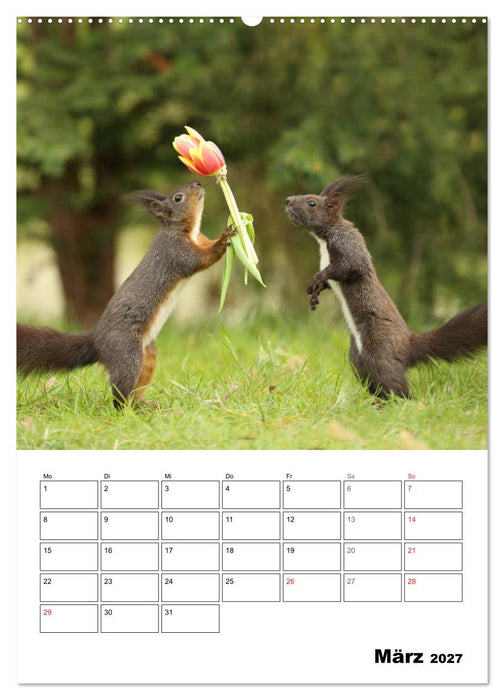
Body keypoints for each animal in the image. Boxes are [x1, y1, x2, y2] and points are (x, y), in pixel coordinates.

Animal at [17, 181, 234, 408]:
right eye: (178, 197)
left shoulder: (200, 240)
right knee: (120, 391)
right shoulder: (176, 252)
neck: (189, 230)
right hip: (128, 353)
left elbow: (207, 247)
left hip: (148, 355)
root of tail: (97, 342)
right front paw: (224, 239)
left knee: (136, 387)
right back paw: (124, 409)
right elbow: (202, 259)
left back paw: (142, 405)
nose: (197, 183)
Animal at [285, 175, 487, 398]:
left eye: (311, 202)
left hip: (379, 352)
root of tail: (407, 344)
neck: (324, 239)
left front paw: (317, 278)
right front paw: (316, 292)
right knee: (373, 381)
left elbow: (351, 266)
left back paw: (404, 402)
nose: (287, 200)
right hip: (358, 359)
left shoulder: (348, 244)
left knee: (393, 383)